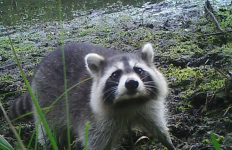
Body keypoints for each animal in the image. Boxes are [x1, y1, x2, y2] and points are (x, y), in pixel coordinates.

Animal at [9, 42, 176, 149]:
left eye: (139, 70)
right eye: (115, 75)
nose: (131, 83)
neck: (129, 102)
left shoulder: (148, 107)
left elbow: (159, 128)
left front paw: (169, 143)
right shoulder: (94, 121)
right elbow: (95, 144)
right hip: (45, 102)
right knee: (49, 131)